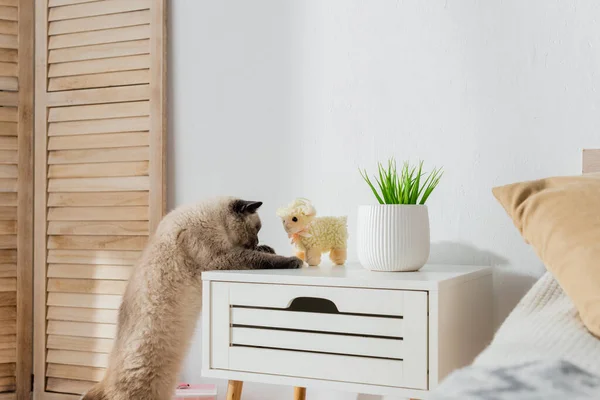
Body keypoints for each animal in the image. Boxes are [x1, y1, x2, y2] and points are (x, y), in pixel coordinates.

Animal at [82, 197, 302, 400]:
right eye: (256, 229)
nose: (256, 241)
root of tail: (104, 381)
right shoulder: (223, 257)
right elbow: (259, 259)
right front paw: (293, 260)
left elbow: (261, 254)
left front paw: (267, 248)